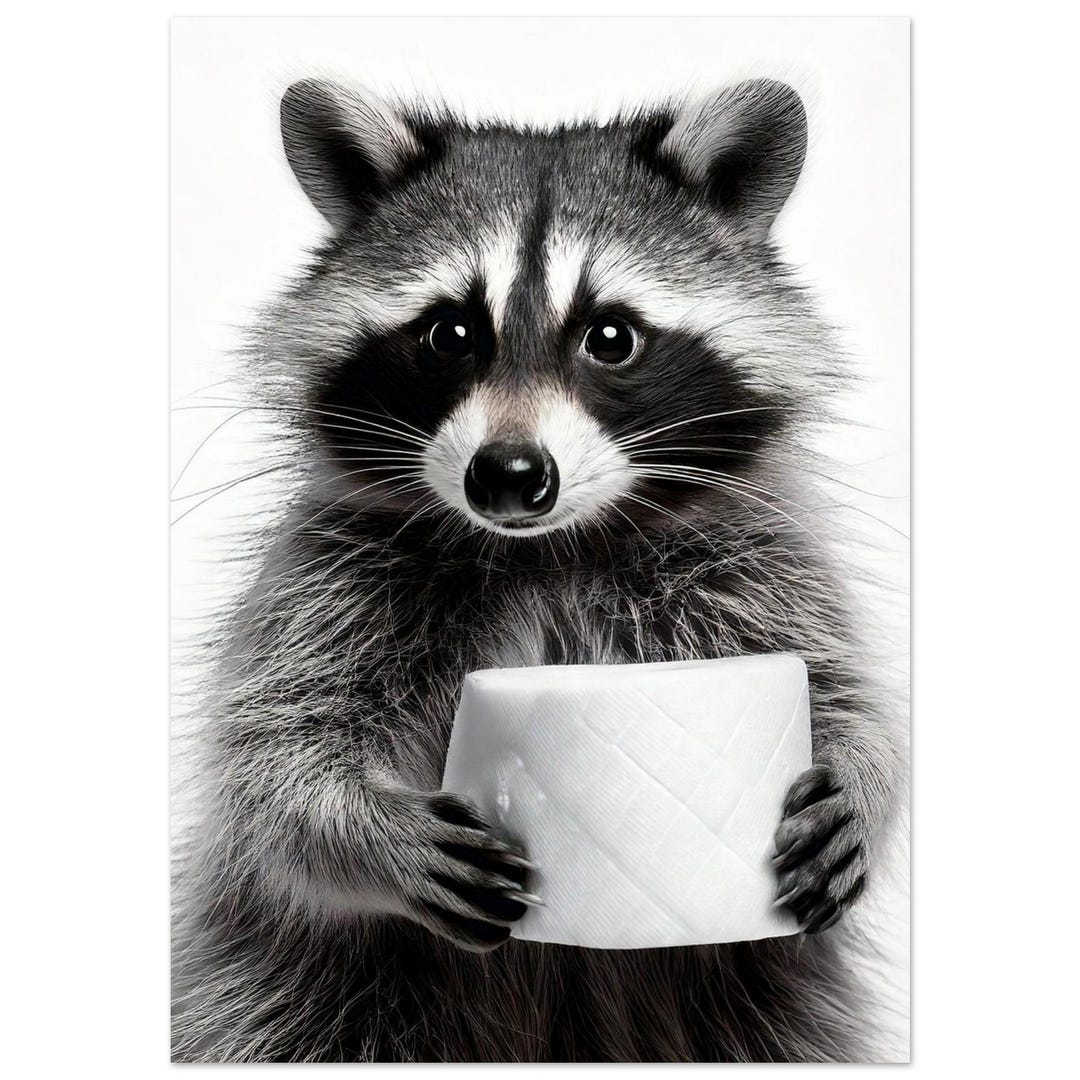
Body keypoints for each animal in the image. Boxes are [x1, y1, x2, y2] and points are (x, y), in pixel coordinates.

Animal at [171, 77, 903, 1062]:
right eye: (449, 333)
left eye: (611, 337)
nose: (510, 476)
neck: (543, 551)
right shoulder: (327, 577)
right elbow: (273, 765)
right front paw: (366, 833)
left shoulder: (761, 561)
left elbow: (845, 692)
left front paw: (862, 781)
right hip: (291, 992)